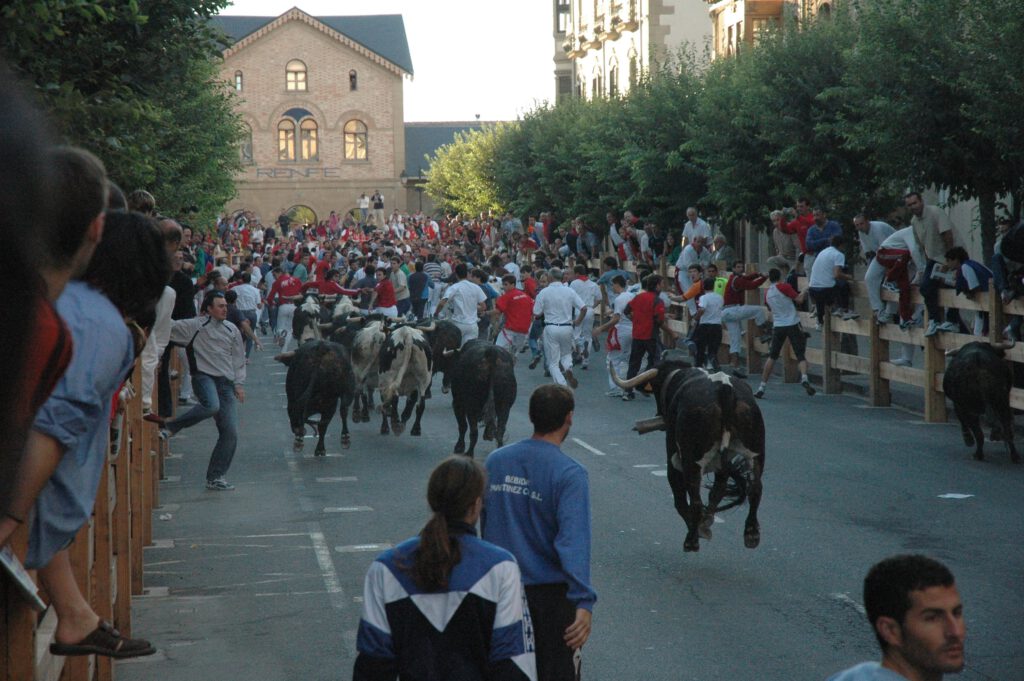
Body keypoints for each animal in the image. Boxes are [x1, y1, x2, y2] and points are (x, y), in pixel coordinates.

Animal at [610, 350, 765, 552]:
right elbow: (717, 491)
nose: (658, 415)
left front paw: (699, 527)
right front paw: (706, 522)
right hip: (756, 452)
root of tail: (724, 388)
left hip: (692, 459)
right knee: (755, 489)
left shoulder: (673, 455)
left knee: (694, 498)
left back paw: (691, 540)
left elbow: (680, 498)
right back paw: (751, 533)